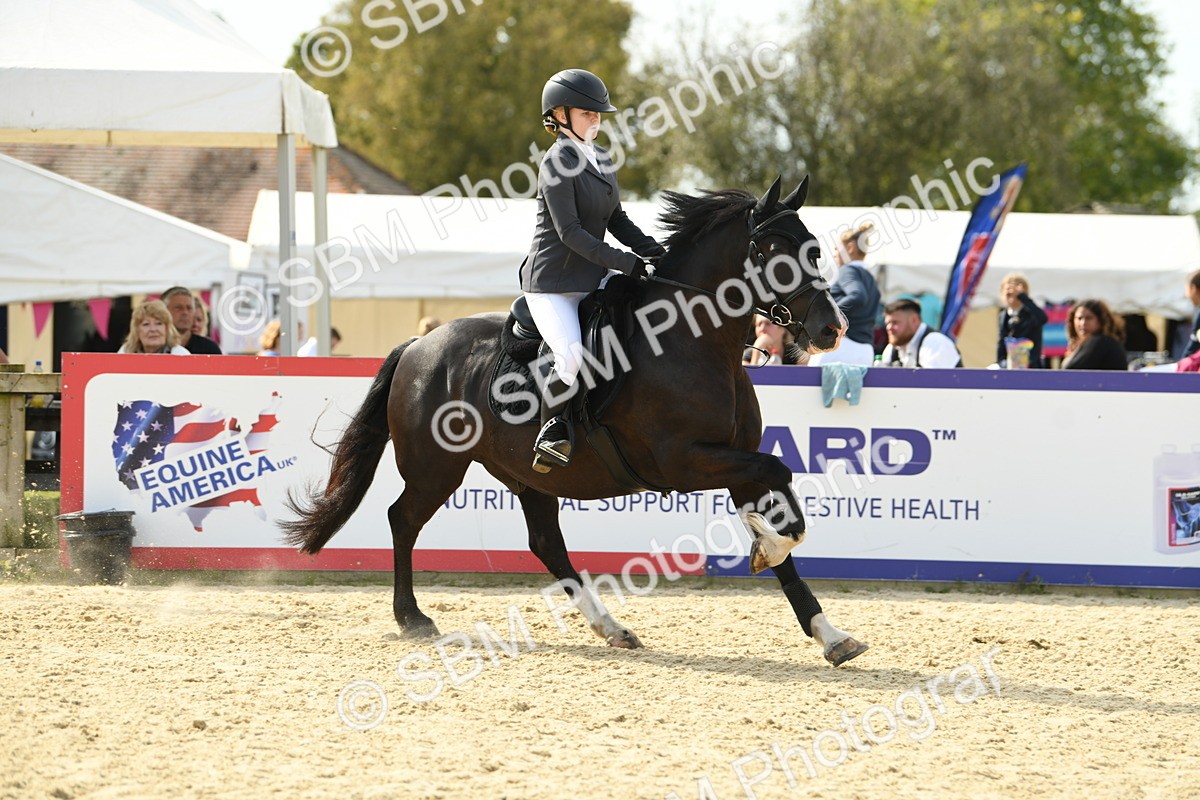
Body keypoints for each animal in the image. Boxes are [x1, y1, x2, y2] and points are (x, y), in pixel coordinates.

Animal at [282, 176, 870, 667]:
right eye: (771, 251)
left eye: (814, 248)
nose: (832, 329)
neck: (695, 343)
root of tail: (418, 346)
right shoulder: (683, 461)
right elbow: (780, 484)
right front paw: (768, 546)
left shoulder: (734, 458)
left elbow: (778, 505)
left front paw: (830, 633)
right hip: (436, 468)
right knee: (403, 520)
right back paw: (412, 618)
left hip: (527, 475)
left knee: (546, 543)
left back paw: (612, 627)